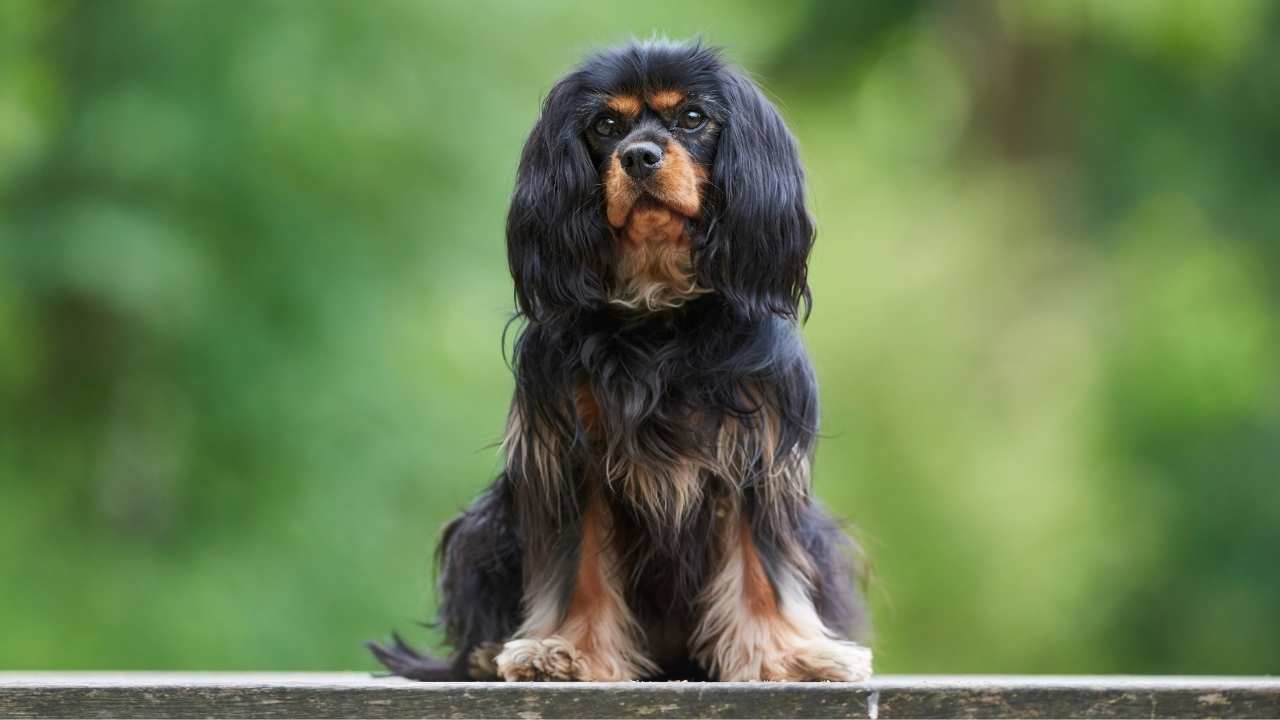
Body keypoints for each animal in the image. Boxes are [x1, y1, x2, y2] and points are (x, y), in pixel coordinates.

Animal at [368, 37, 870, 676]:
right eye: (606, 125)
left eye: (692, 118)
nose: (639, 157)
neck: (659, 313)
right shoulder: (572, 453)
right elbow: (577, 566)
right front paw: (564, 652)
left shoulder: (753, 452)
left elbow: (762, 568)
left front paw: (787, 657)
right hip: (482, 527)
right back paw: (484, 653)